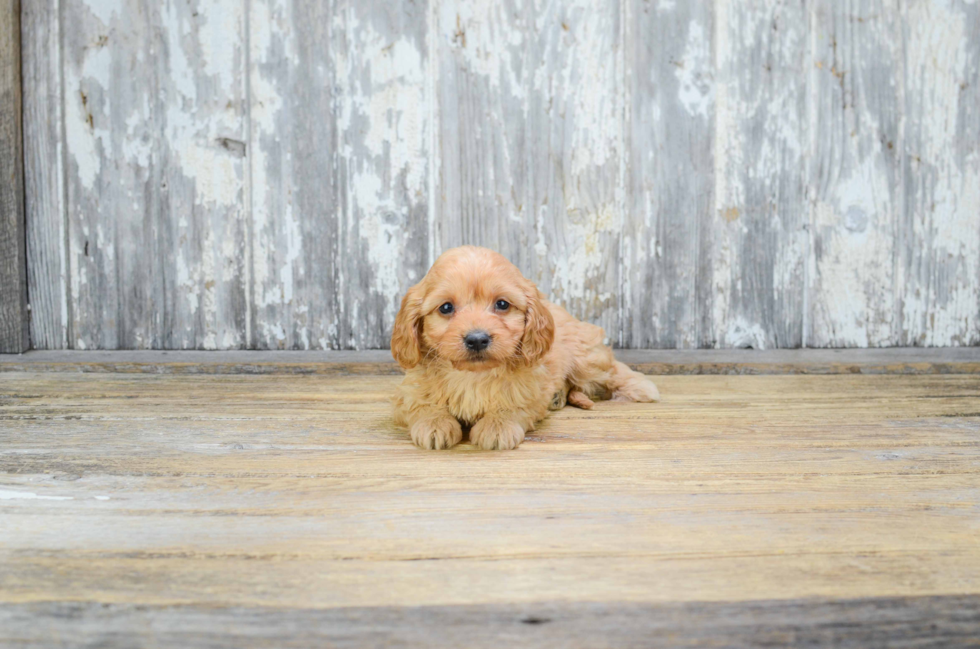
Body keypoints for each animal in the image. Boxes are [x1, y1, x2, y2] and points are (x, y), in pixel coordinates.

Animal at [390, 246, 660, 448]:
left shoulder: (528, 387)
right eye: (446, 307)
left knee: (611, 368)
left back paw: (639, 386)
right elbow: (422, 404)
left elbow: (512, 403)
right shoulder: (410, 391)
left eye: (502, 304)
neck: (472, 375)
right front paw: (434, 423)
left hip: (586, 357)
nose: (477, 339)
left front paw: (497, 426)